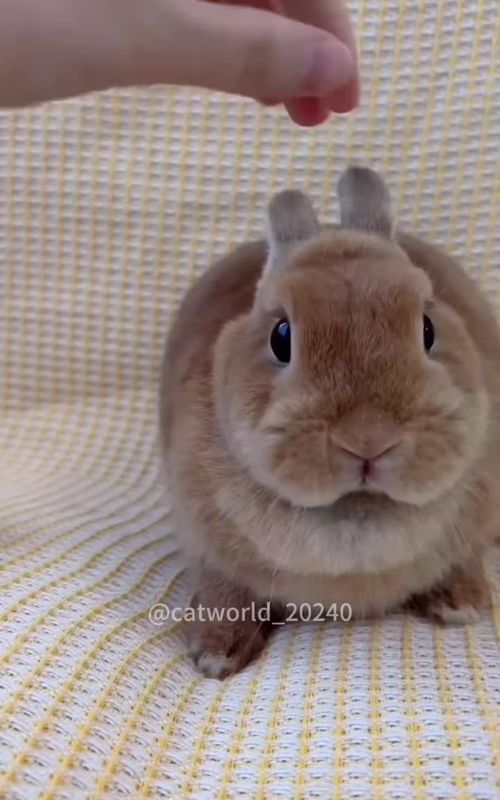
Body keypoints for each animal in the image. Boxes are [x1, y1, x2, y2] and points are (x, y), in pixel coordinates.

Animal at [159, 167, 500, 679]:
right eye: (281, 337)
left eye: (427, 328)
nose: (368, 440)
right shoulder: (208, 547)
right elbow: (227, 592)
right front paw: (216, 656)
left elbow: (463, 558)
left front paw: (463, 608)